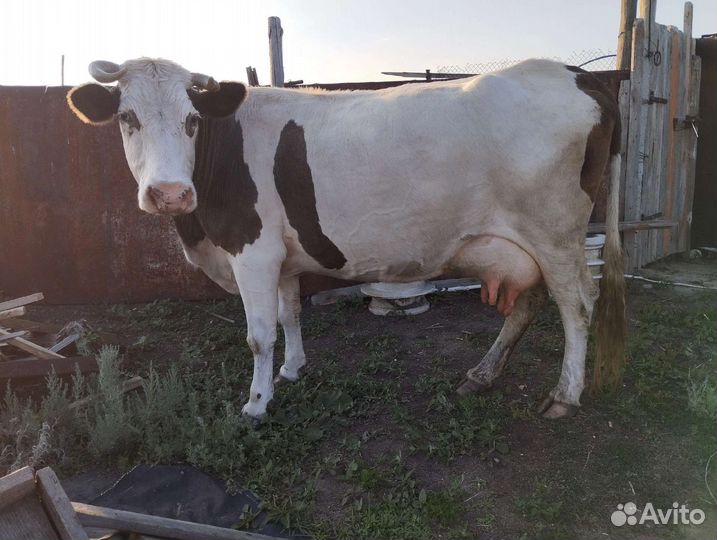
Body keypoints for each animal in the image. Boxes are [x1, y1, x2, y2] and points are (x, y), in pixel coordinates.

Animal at [67, 57, 625, 419]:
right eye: (127, 117)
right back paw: (481, 376)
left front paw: (256, 402)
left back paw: (564, 396)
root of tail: (575, 73)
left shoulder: (253, 251)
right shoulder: (282, 257)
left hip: (556, 231)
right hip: (525, 244)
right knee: (529, 304)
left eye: (192, 119)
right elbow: (290, 314)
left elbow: (258, 333)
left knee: (577, 303)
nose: (168, 193)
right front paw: (292, 370)